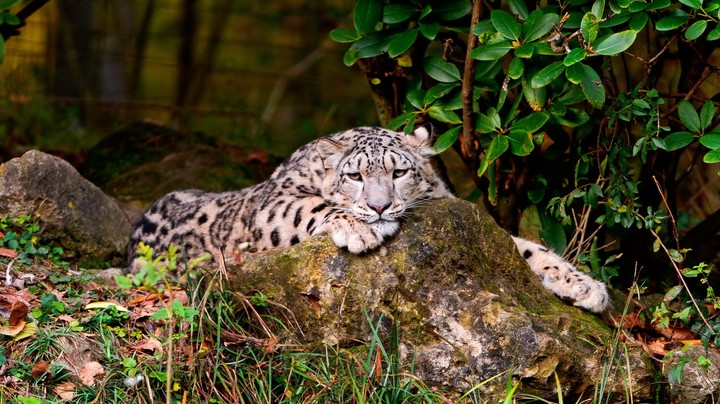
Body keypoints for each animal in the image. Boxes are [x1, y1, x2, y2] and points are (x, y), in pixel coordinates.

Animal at [128, 126, 609, 313]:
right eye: (355, 175)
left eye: (399, 172)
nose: (378, 207)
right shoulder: (271, 204)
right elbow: (309, 207)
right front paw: (360, 229)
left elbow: (523, 247)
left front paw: (586, 286)